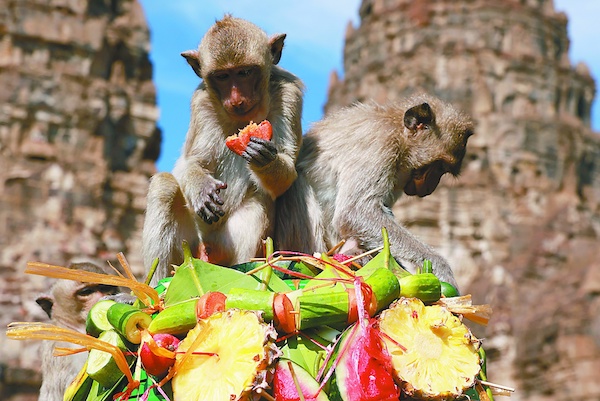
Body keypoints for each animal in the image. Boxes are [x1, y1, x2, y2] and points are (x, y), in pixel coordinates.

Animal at [35, 260, 122, 400]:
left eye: (104, 287)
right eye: (86, 291)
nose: (106, 295)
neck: (76, 329)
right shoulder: (59, 346)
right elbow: (72, 391)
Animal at [142, 14, 304, 282]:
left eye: (245, 72)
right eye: (223, 77)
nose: (236, 100)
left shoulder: (290, 94)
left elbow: (289, 169)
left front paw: (265, 158)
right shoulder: (201, 102)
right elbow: (192, 161)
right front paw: (201, 188)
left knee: (258, 201)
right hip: (190, 243)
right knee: (165, 186)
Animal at [274, 92, 476, 290]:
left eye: (442, 170)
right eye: (437, 166)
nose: (431, 186)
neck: (397, 131)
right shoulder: (381, 143)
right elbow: (355, 212)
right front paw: (441, 267)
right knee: (300, 184)